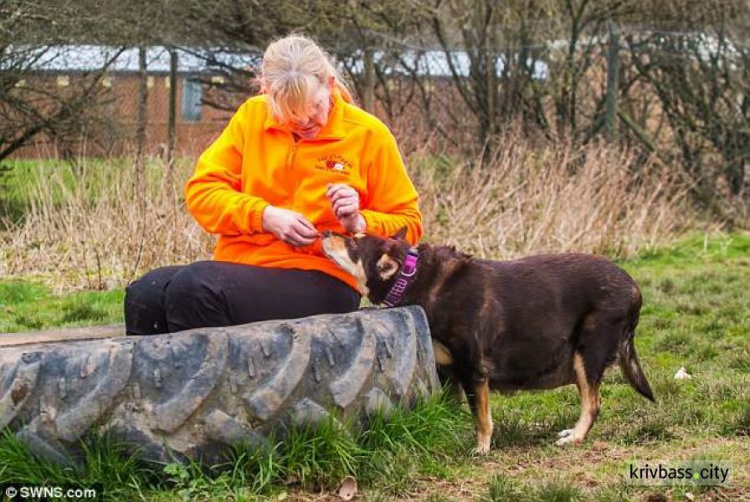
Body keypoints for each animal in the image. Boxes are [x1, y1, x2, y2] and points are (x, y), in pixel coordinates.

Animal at [324, 229, 656, 452]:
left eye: (353, 242)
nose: (326, 231)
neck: (413, 277)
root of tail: (634, 286)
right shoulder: (447, 372)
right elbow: (452, 410)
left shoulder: (473, 369)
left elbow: (481, 417)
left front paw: (481, 448)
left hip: (587, 354)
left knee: (593, 404)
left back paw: (575, 436)